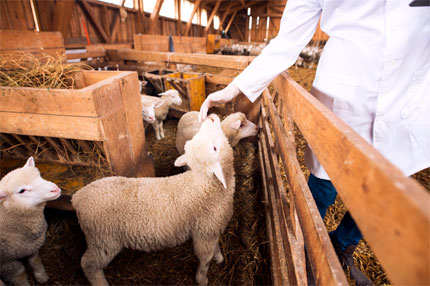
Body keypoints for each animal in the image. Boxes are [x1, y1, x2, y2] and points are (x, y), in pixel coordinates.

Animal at [72, 114, 237, 286]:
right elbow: (205, 259)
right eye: (214, 148)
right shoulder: (204, 232)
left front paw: (219, 257)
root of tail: (78, 197)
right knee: (88, 264)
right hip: (103, 239)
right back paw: (101, 282)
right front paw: (202, 279)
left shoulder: (212, 229)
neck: (205, 184)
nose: (211, 118)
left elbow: (215, 247)